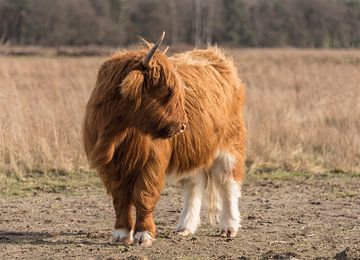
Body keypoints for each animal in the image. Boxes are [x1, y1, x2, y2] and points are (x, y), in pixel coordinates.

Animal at [83, 32, 246, 246]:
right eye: (166, 90)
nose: (182, 126)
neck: (116, 134)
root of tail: (215, 55)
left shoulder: (151, 162)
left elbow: (143, 194)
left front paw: (144, 234)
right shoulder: (111, 168)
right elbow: (120, 199)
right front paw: (121, 232)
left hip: (229, 146)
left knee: (228, 185)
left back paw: (229, 227)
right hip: (194, 149)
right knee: (194, 186)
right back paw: (185, 227)